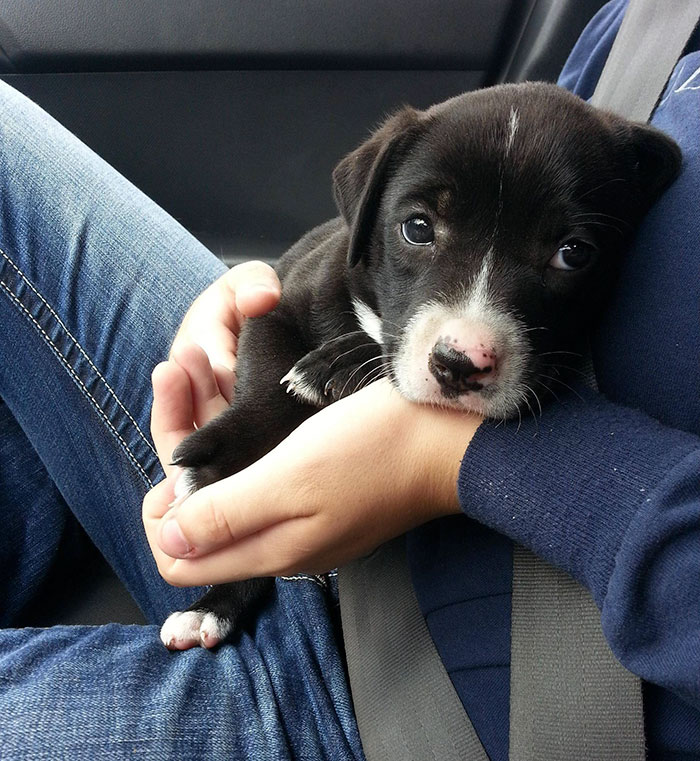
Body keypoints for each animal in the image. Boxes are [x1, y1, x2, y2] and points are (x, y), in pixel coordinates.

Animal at [159, 84, 680, 652]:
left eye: (574, 254)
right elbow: (265, 391)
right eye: (417, 229)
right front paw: (216, 463)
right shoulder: (277, 305)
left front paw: (335, 365)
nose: (460, 364)